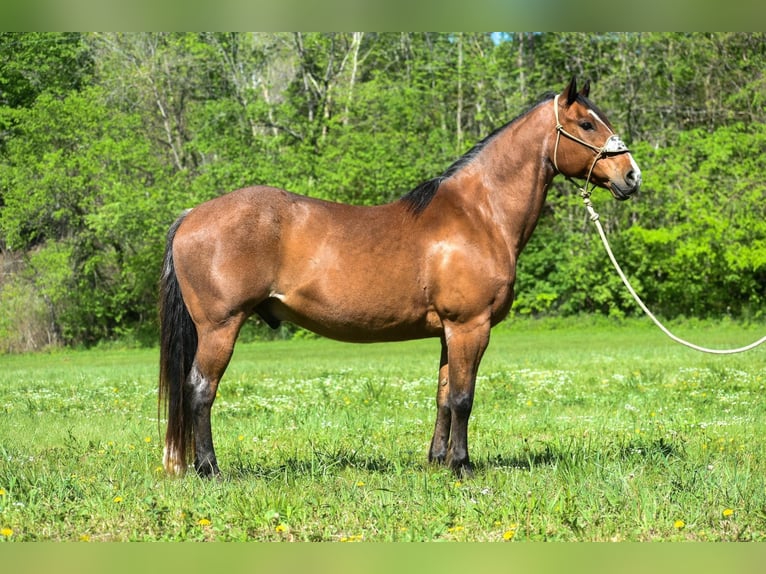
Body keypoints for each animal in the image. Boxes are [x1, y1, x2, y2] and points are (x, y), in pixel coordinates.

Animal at [160, 77, 640, 482]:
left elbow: (444, 396)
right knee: (200, 390)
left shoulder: (449, 332)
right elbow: (464, 398)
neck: (479, 215)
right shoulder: (471, 327)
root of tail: (191, 216)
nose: (631, 175)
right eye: (586, 123)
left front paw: (438, 461)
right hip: (221, 327)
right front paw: (462, 466)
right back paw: (209, 470)